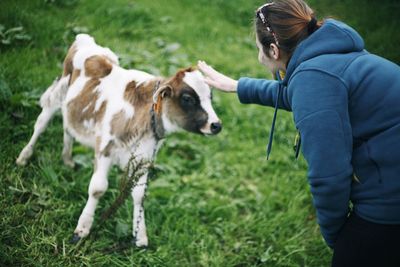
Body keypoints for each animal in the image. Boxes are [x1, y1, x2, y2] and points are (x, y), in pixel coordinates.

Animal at [16, 34, 222, 248]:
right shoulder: (105, 148)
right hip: (59, 92)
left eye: (210, 96)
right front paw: (82, 229)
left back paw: (67, 159)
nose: (216, 125)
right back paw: (24, 157)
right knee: (41, 124)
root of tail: (87, 40)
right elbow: (98, 189)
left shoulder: (144, 158)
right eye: (188, 98)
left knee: (68, 125)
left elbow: (139, 194)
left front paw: (140, 236)